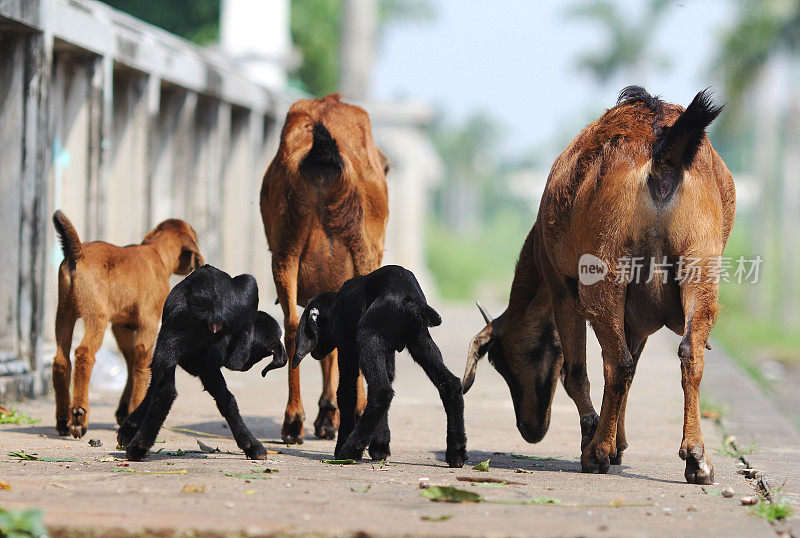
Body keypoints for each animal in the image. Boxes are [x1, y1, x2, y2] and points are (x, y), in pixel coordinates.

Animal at [51, 209, 203, 436]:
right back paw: (79, 416)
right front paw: (135, 412)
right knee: (84, 354)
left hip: (64, 314)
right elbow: (142, 365)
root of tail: (77, 253)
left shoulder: (122, 326)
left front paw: (125, 411)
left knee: (61, 361)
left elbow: (132, 362)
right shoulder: (149, 323)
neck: (156, 253)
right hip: (96, 317)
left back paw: (62, 420)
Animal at [260, 94, 390, 442]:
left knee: (292, 324)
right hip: (364, 248)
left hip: (286, 243)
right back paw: (356, 412)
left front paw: (327, 415)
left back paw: (294, 420)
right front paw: (332, 414)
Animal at [462, 87, 736, 482]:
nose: (531, 430)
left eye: (503, 361)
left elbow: (576, 372)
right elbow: (632, 369)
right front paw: (619, 442)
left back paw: (598, 452)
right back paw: (697, 458)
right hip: (700, 263)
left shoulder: (562, 290)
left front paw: (595, 436)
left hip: (603, 271)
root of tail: (663, 150)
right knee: (688, 353)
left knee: (616, 362)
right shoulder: (636, 316)